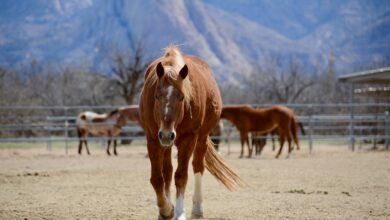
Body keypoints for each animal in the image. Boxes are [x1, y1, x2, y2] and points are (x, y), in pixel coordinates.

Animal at [139, 45, 244, 219]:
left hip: (200, 140)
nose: (167, 134)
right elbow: (157, 179)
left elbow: (181, 176)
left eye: (182, 97)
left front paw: (179, 212)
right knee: (167, 172)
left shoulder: (189, 139)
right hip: (166, 143)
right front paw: (166, 210)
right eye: (156, 96)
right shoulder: (153, 138)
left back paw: (197, 208)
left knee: (197, 167)